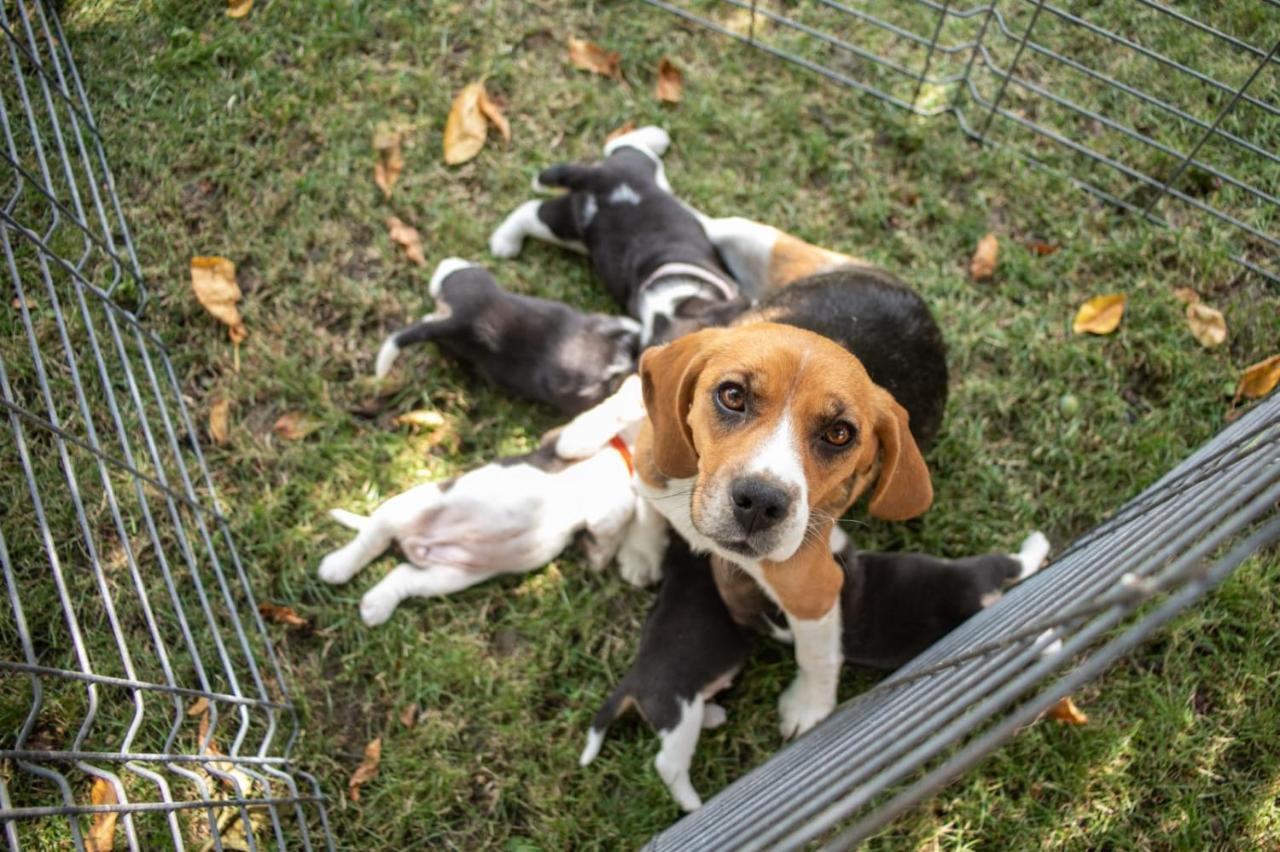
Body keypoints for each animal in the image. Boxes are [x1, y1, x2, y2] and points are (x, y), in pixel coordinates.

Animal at [317, 419, 637, 624]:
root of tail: (416, 544)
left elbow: (621, 512)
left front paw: (600, 547)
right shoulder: (565, 439)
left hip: (451, 576)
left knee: (404, 574)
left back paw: (377, 604)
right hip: (410, 506)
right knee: (372, 539)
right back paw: (337, 566)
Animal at [488, 126, 747, 345]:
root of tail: (596, 178)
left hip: (639, 170)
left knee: (623, 146)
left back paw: (655, 136)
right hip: (566, 226)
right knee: (533, 211)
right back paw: (504, 241)